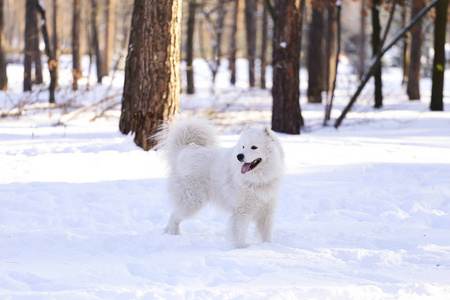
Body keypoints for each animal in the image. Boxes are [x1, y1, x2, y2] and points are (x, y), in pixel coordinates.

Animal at [155, 116, 284, 247]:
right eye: (243, 146)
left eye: (254, 147)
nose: (239, 156)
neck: (258, 179)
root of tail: (183, 150)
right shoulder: (242, 212)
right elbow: (240, 234)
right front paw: (241, 248)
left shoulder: (267, 212)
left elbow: (267, 236)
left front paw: (269, 246)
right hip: (191, 202)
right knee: (173, 217)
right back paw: (175, 236)